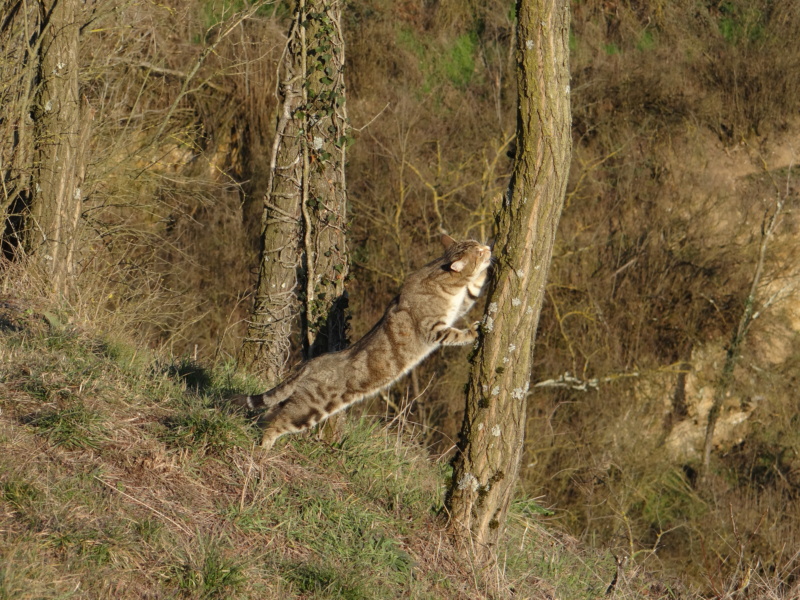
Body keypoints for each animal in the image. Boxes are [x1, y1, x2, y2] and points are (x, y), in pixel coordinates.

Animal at [231, 234, 490, 450]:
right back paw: (265, 447)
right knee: (279, 422)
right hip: (309, 409)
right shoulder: (433, 328)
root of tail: (308, 365)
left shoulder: (459, 307)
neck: (441, 276)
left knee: (271, 413)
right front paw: (476, 330)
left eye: (477, 243)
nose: (486, 247)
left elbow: (472, 292)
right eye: (477, 252)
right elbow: (456, 334)